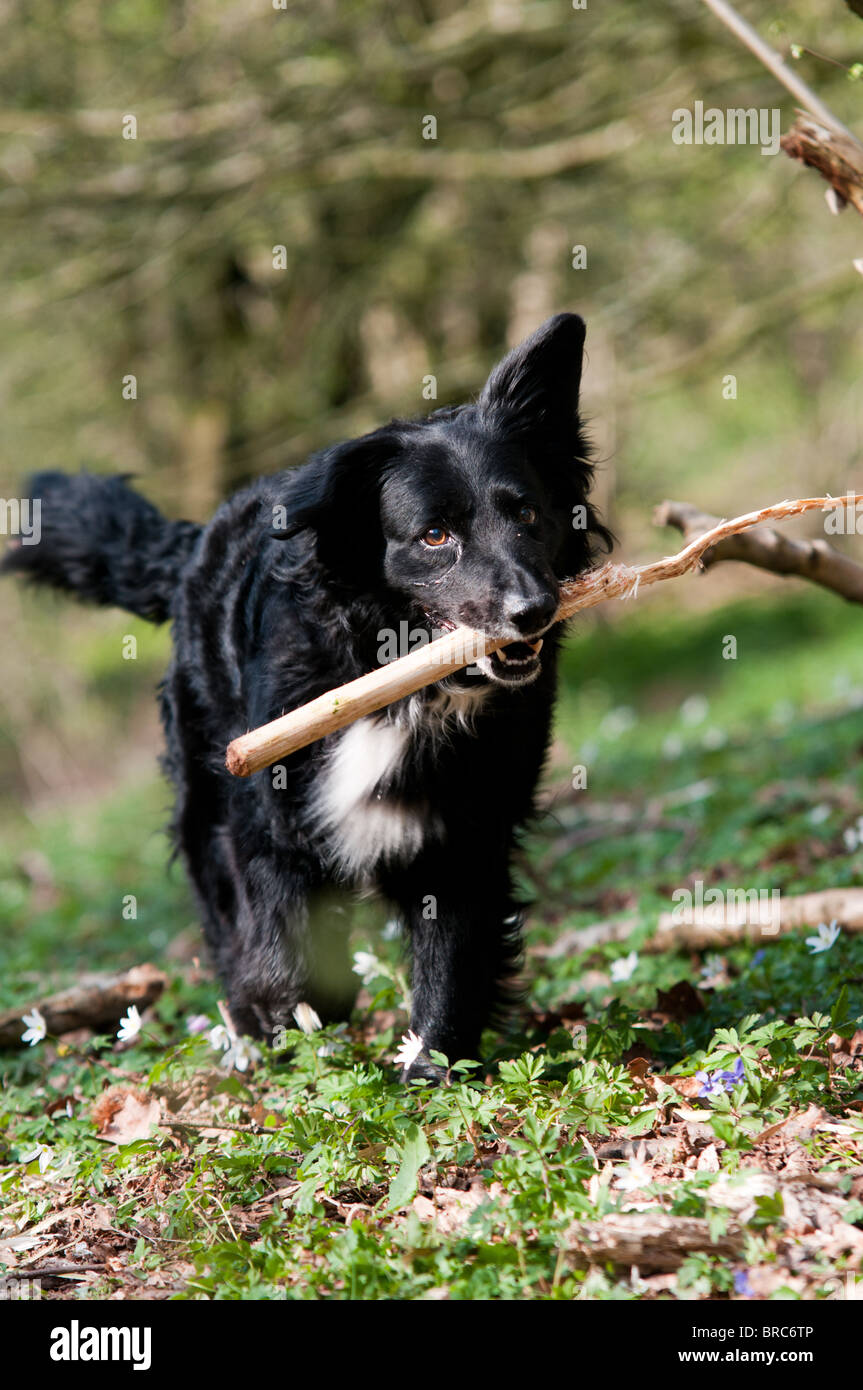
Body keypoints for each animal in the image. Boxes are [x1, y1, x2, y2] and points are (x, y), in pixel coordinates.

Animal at [8, 318, 611, 1084]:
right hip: (205, 794)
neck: (394, 676)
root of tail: (196, 542)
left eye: (528, 513)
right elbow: (278, 948)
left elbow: (452, 953)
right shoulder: (268, 825)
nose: (532, 610)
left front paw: (431, 1070)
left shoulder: (465, 827)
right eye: (434, 535)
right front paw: (289, 1035)